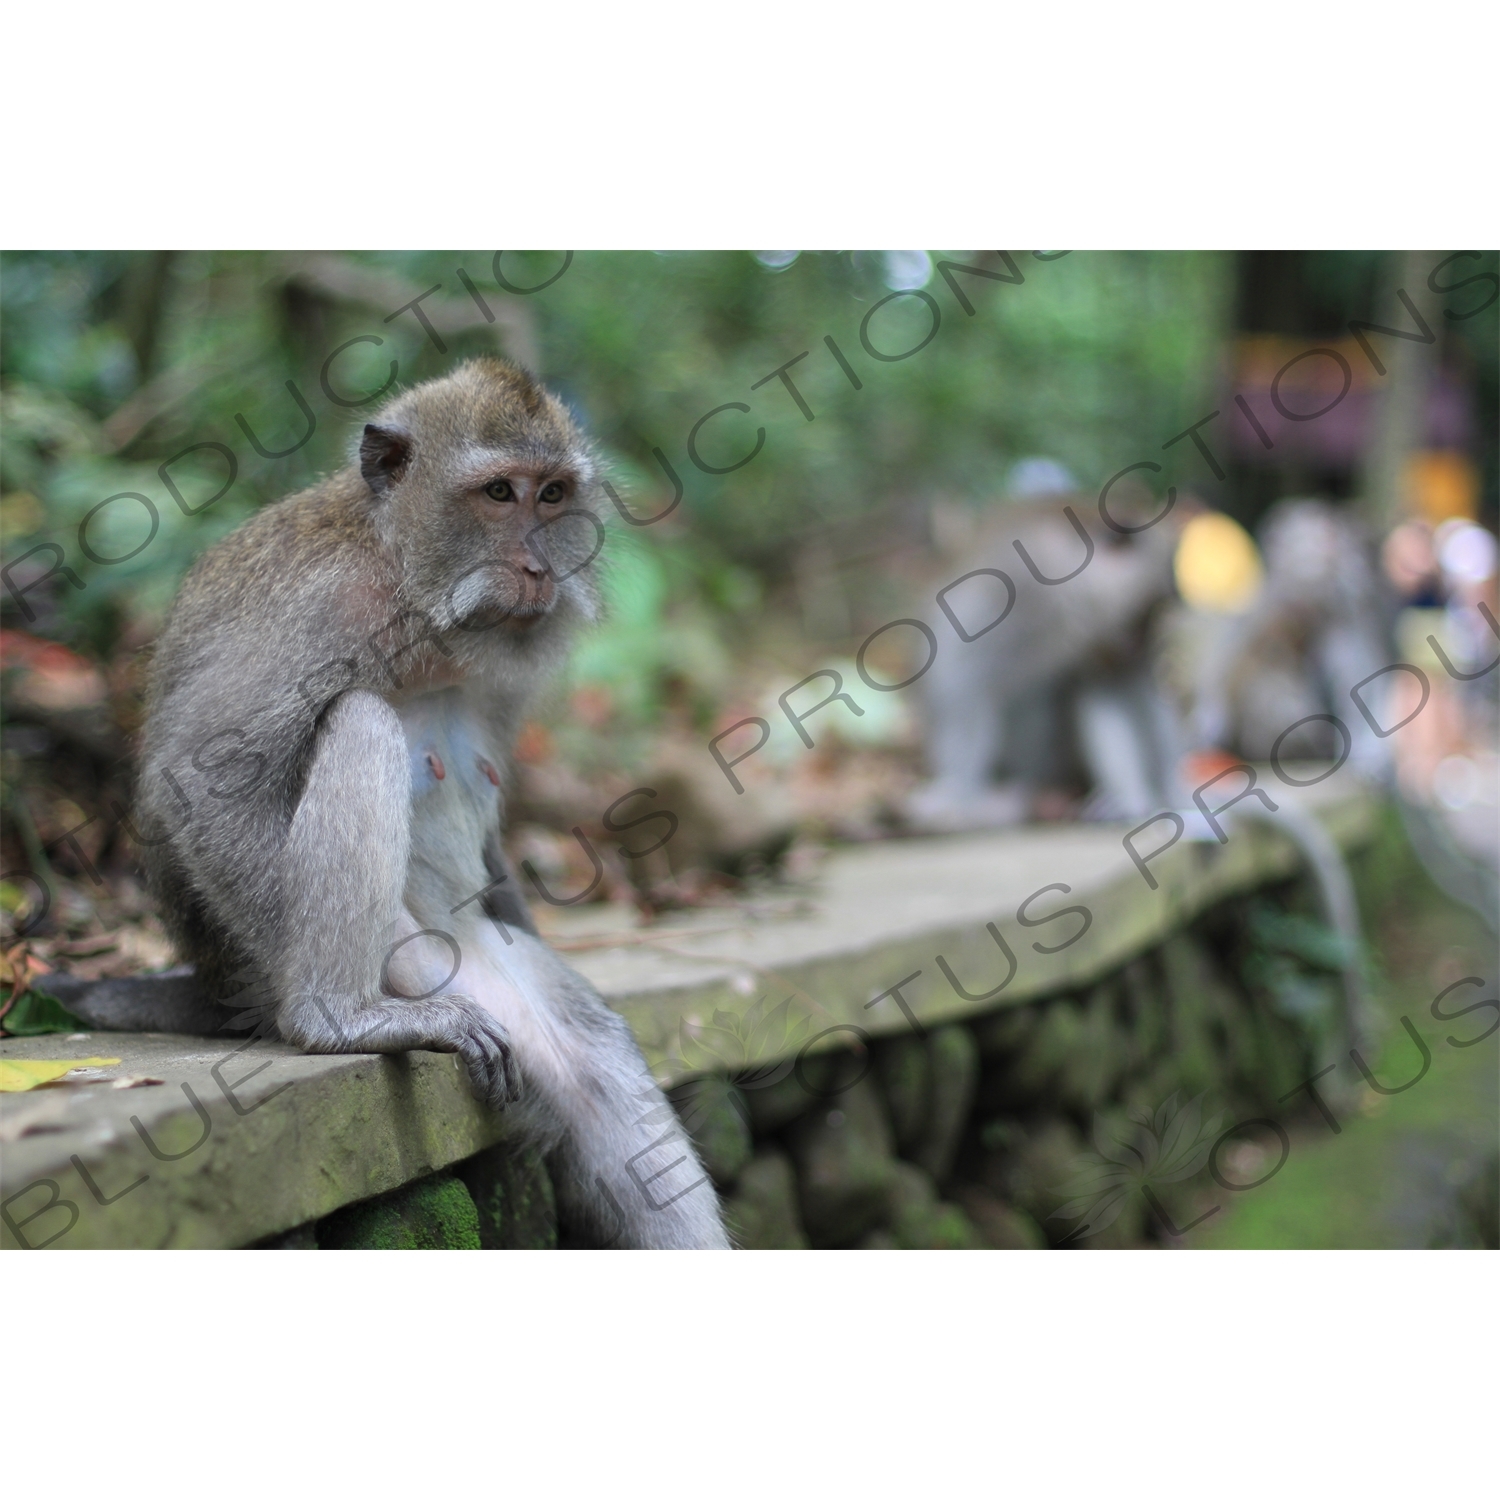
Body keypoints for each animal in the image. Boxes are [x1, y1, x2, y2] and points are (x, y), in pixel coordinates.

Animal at [38, 357, 729, 1248]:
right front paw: (323, 1021)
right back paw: (338, 1014)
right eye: (498, 493)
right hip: (400, 963)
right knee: (361, 722)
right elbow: (198, 783)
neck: (413, 591)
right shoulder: (323, 614)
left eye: (551, 496)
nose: (539, 570)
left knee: (600, 1071)